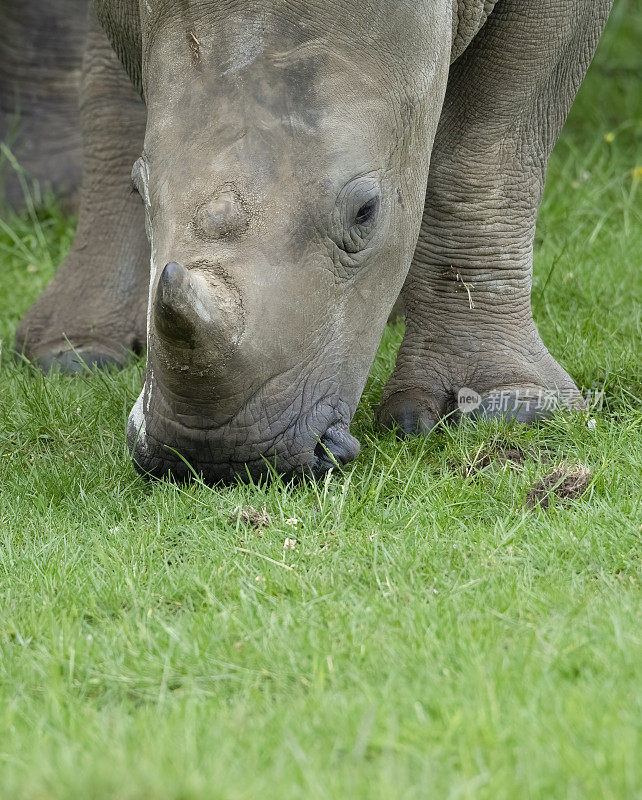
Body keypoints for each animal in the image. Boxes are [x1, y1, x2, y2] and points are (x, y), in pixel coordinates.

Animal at [0, 0, 608, 482]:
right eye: (138, 188)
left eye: (366, 213)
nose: (221, 460)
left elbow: (489, 144)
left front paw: (510, 411)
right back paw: (73, 357)